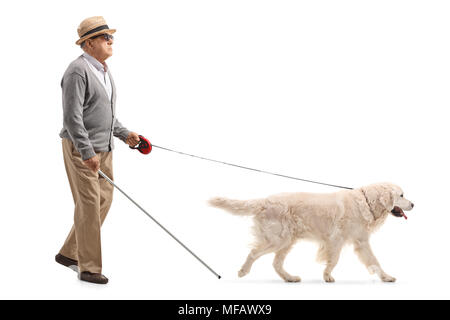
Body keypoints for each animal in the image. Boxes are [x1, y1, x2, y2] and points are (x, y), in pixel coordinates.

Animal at [209, 182, 414, 282]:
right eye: (402, 195)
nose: (413, 204)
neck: (365, 202)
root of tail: (264, 201)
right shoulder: (336, 239)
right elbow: (334, 260)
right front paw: (327, 275)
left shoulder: (361, 242)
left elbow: (374, 262)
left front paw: (386, 277)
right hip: (278, 239)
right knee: (253, 252)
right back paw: (243, 271)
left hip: (287, 241)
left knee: (276, 263)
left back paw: (290, 278)